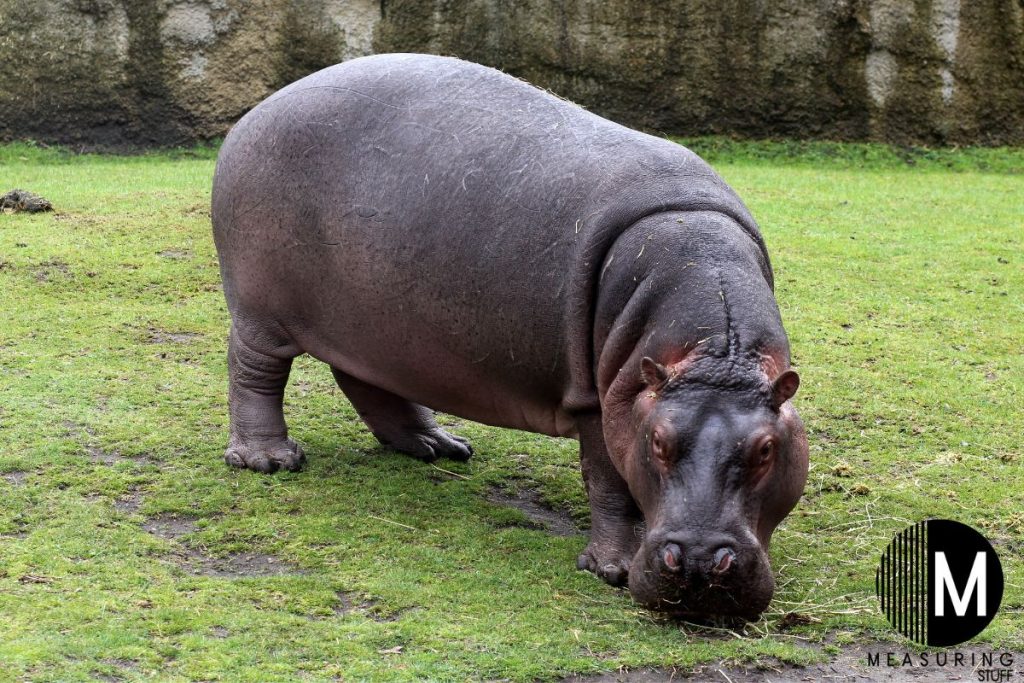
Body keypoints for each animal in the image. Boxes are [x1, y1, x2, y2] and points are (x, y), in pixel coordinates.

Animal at [211, 53, 809, 619]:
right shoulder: (598, 401)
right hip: (262, 312)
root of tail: (262, 107)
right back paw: (270, 459)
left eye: (767, 448)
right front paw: (611, 569)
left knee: (366, 380)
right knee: (254, 372)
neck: (716, 354)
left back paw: (439, 447)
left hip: (375, 323)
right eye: (658, 441)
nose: (701, 565)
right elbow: (609, 480)